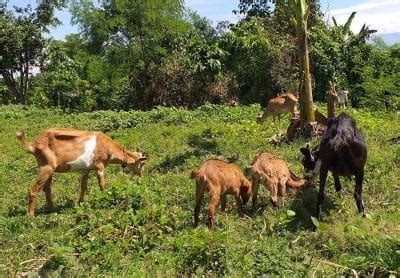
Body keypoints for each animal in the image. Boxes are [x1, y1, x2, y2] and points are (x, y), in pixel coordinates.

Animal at [15, 129, 150, 216]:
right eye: (142, 163)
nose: (141, 175)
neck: (108, 146)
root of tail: (33, 144)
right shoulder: (99, 166)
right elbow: (102, 185)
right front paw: (107, 200)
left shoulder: (86, 169)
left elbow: (83, 186)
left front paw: (80, 203)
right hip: (46, 167)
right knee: (33, 190)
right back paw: (31, 215)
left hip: (49, 169)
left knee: (47, 189)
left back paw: (53, 210)